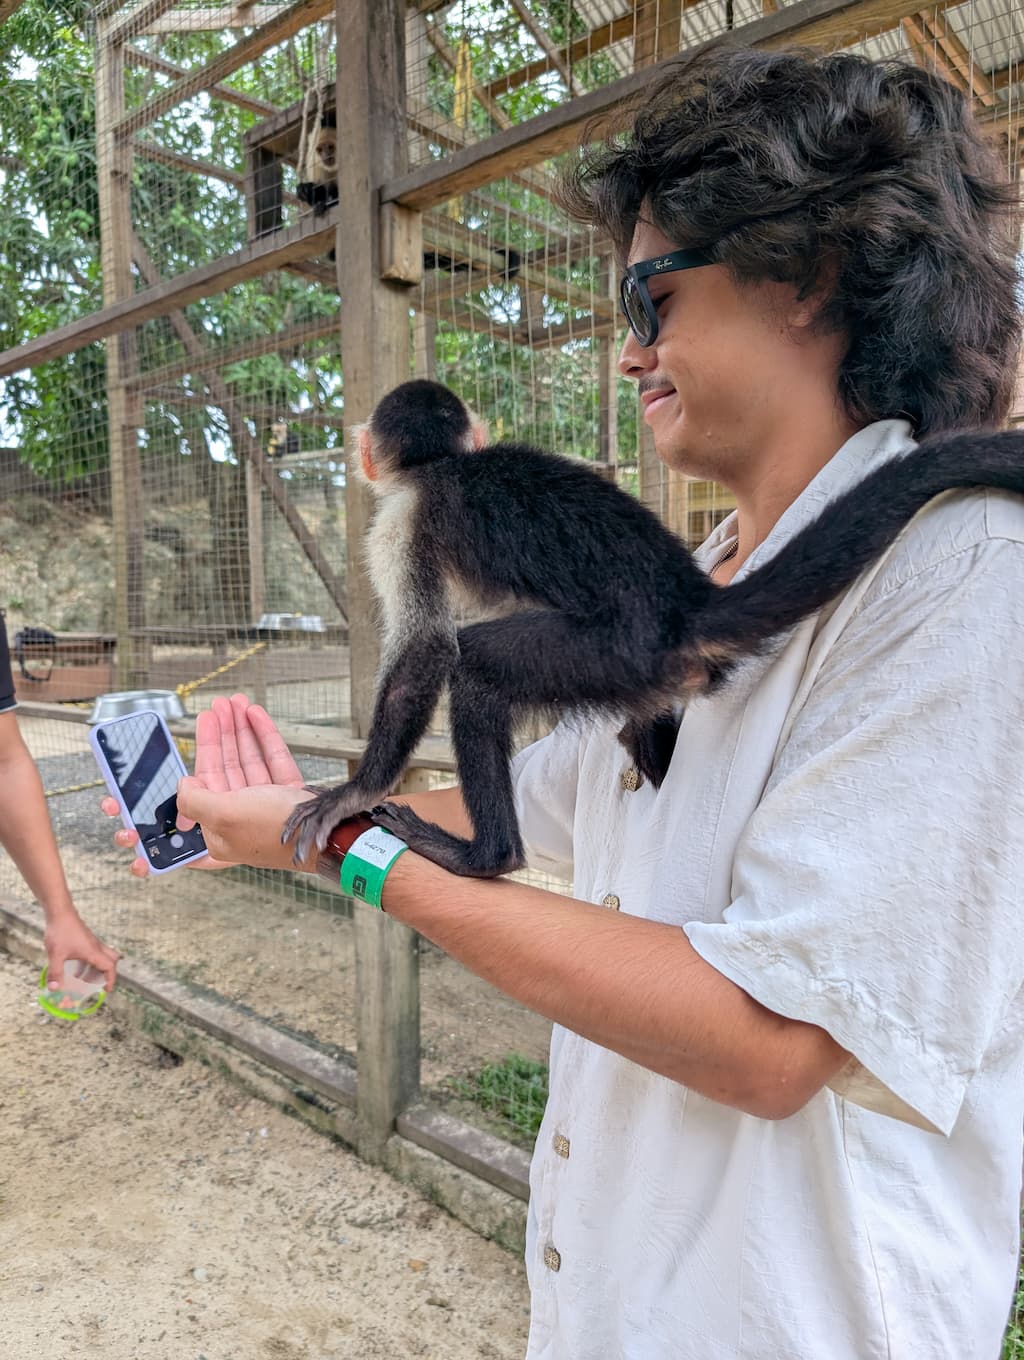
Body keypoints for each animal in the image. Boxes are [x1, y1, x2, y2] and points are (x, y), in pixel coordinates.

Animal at [281, 379, 1024, 878]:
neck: (443, 465)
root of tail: (685, 600)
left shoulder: (401, 520)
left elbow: (428, 647)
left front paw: (357, 788)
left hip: (615, 650)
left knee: (479, 667)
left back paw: (488, 856)